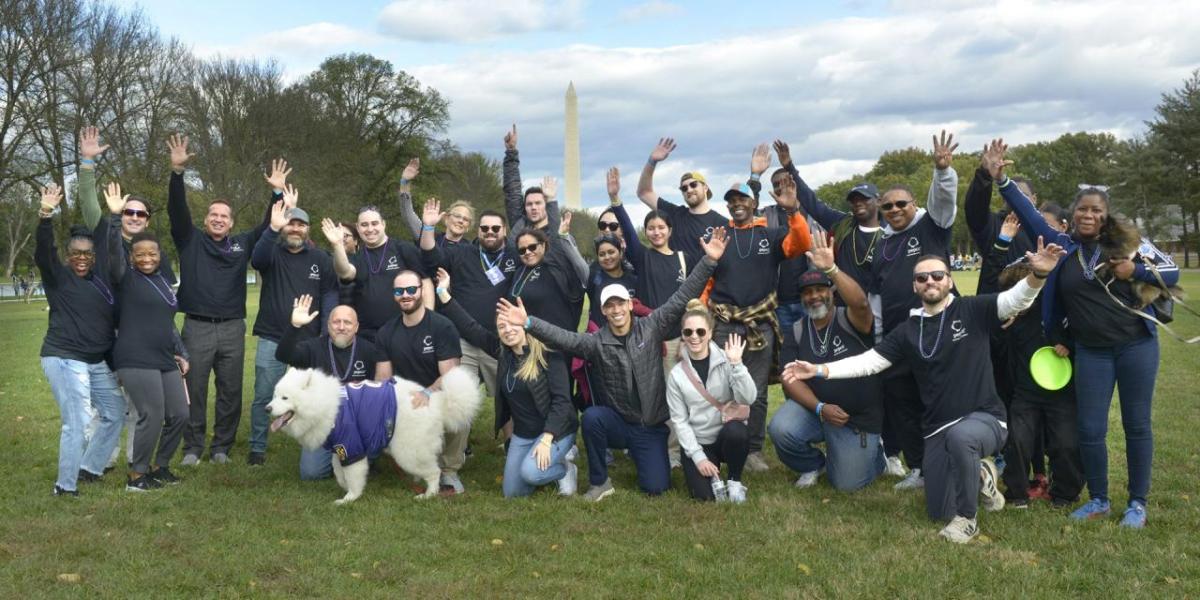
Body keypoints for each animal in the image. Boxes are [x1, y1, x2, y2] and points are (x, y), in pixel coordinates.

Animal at [268, 367, 482, 504]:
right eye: (275, 395)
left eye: (285, 398)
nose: (267, 408)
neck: (323, 404)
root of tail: (437, 403)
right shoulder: (340, 450)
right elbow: (340, 474)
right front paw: (345, 488)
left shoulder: (351, 446)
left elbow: (353, 477)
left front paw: (349, 498)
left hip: (407, 451)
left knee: (434, 472)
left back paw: (428, 494)